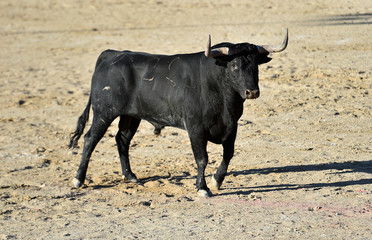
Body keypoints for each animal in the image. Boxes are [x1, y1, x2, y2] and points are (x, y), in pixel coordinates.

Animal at [68, 31, 288, 197]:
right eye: (234, 65)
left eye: (255, 65)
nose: (252, 92)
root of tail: (112, 55)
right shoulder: (195, 128)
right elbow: (202, 158)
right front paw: (202, 188)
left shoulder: (231, 126)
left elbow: (228, 154)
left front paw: (216, 181)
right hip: (104, 112)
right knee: (90, 139)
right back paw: (78, 179)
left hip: (131, 115)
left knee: (122, 139)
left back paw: (130, 176)